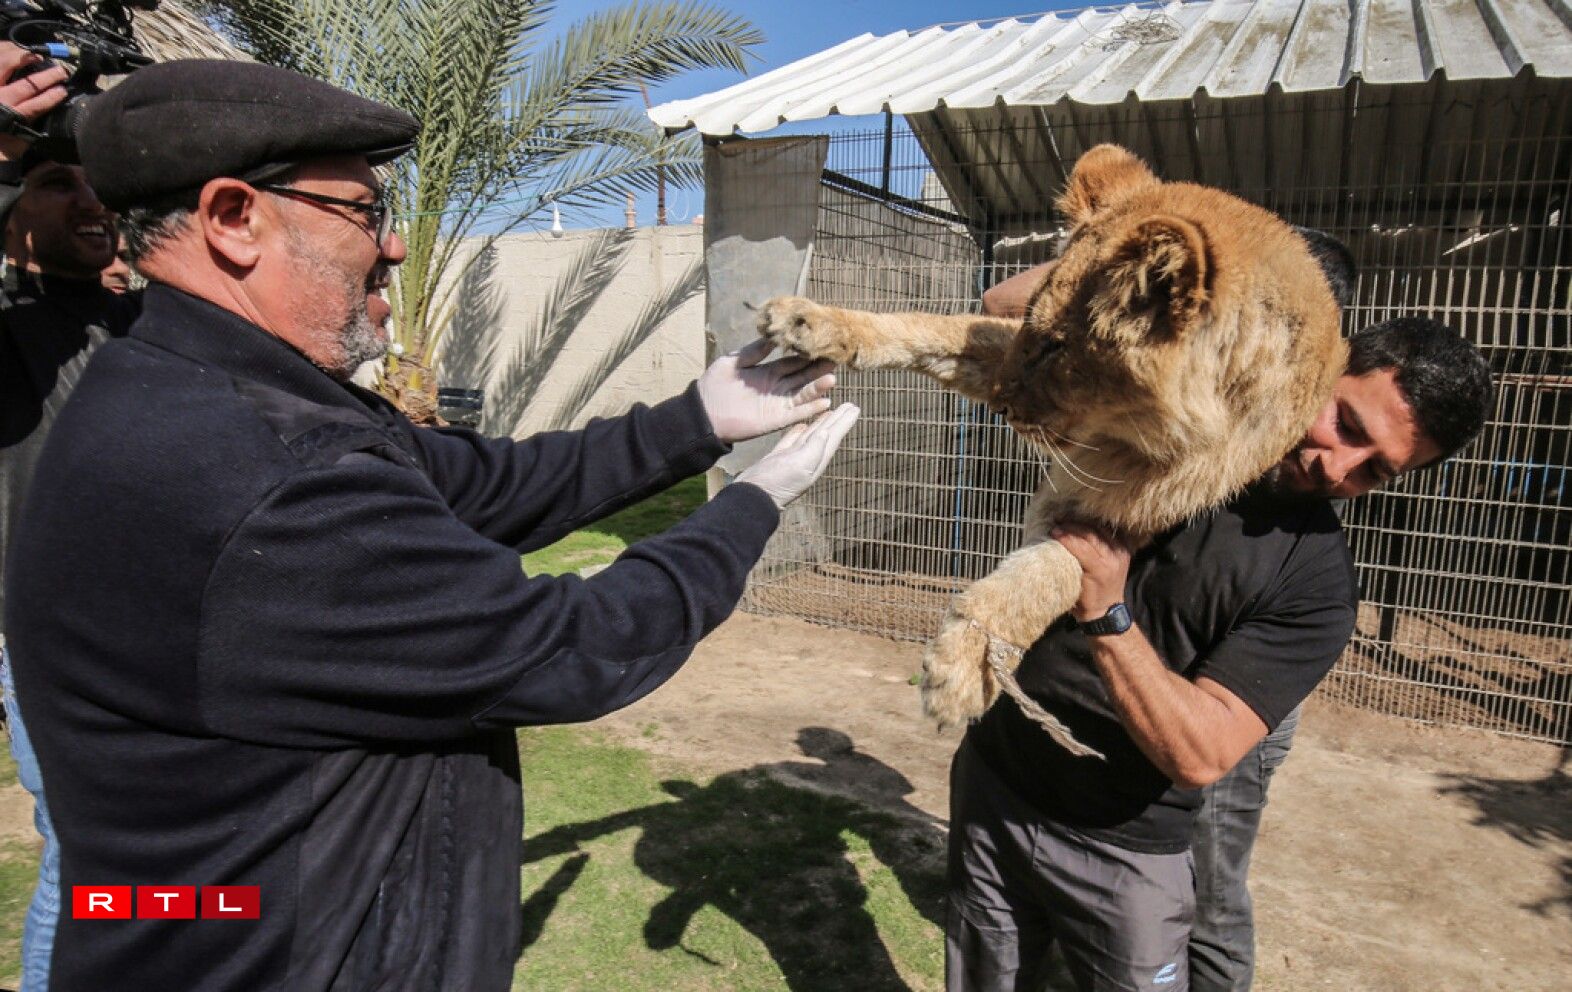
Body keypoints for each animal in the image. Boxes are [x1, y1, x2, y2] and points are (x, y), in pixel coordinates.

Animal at [755, 144, 1346, 756]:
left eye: (1057, 348)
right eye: (1034, 334)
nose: (1000, 402)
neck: (1132, 438)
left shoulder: (1139, 505)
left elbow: (1052, 570)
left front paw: (965, 667)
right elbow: (933, 329)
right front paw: (810, 321)